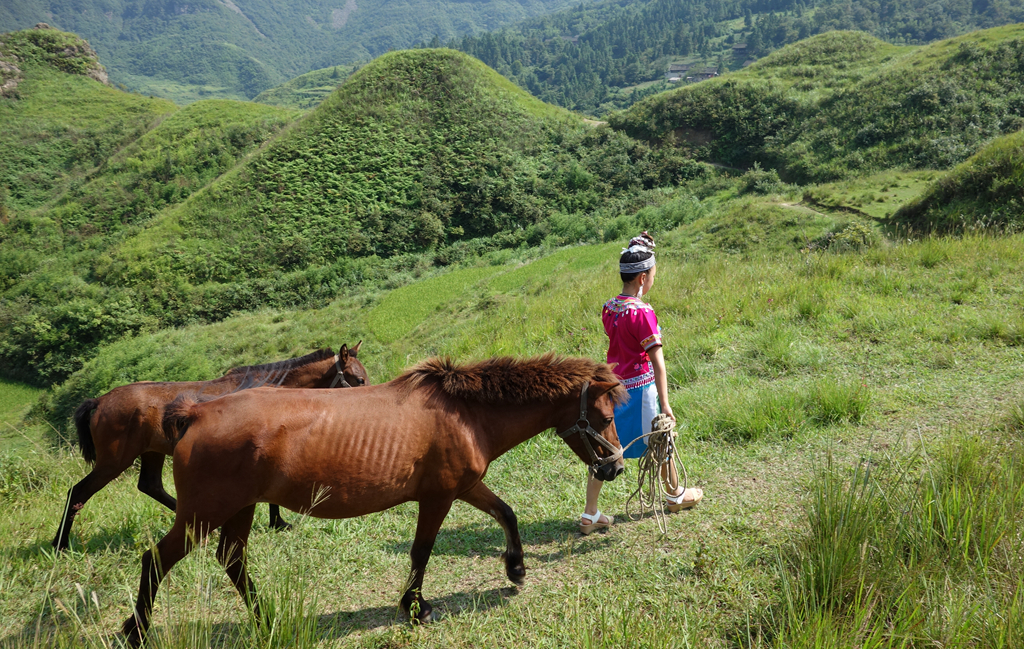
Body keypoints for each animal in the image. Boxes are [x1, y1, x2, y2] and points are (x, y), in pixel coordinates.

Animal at [119, 354, 622, 642]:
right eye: (603, 416)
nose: (614, 467)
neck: (465, 414)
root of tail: (196, 413)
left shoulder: (464, 487)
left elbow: (506, 513)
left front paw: (516, 568)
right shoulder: (438, 498)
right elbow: (422, 551)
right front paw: (416, 607)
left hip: (238, 510)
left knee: (232, 560)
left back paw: (267, 619)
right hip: (204, 514)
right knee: (157, 560)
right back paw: (136, 630)